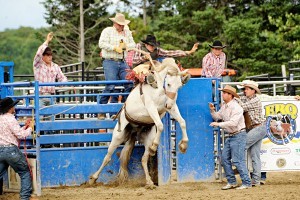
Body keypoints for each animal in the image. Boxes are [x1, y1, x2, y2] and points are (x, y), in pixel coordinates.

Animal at [88, 57, 189, 188]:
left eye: (179, 86)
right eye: (168, 84)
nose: (169, 104)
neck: (158, 89)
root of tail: (134, 131)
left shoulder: (171, 107)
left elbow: (182, 122)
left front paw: (183, 145)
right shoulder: (151, 107)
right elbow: (160, 125)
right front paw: (155, 145)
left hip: (147, 139)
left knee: (143, 159)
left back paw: (149, 181)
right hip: (117, 137)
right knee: (107, 158)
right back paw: (93, 178)